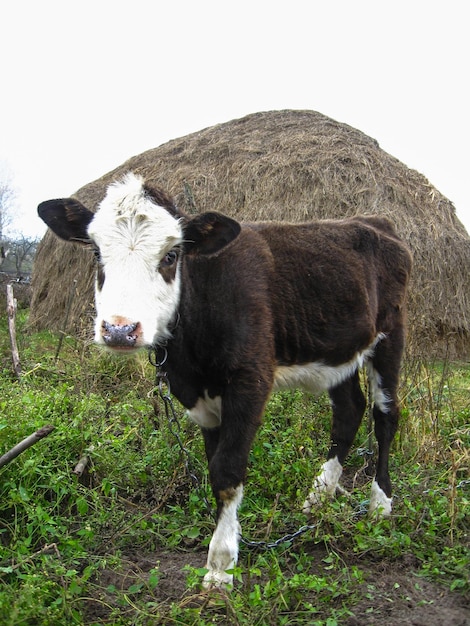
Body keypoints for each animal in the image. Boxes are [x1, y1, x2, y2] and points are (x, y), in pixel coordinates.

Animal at [37, 173, 412, 588]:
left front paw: (220, 566)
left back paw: (380, 504)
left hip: (390, 335)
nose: (120, 329)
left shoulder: (251, 380)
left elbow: (227, 470)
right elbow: (213, 465)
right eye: (96, 253)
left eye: (171, 256)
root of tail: (374, 220)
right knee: (348, 411)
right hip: (337, 349)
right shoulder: (200, 397)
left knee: (385, 416)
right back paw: (317, 499)